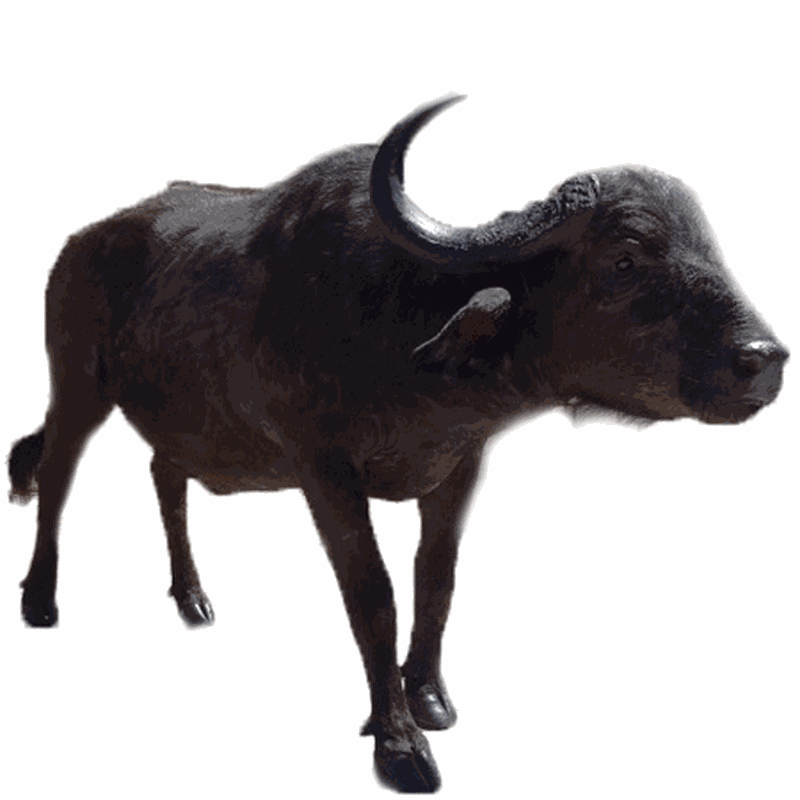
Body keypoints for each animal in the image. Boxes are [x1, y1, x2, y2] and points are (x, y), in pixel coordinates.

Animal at [8, 94, 789, 792]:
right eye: (625, 259)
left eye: (707, 246)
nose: (765, 359)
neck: (400, 328)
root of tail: (81, 243)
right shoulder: (323, 470)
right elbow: (372, 595)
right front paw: (398, 740)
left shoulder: (460, 466)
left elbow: (435, 579)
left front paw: (431, 697)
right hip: (76, 386)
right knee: (55, 473)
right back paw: (40, 599)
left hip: (181, 422)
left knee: (164, 475)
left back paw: (192, 597)